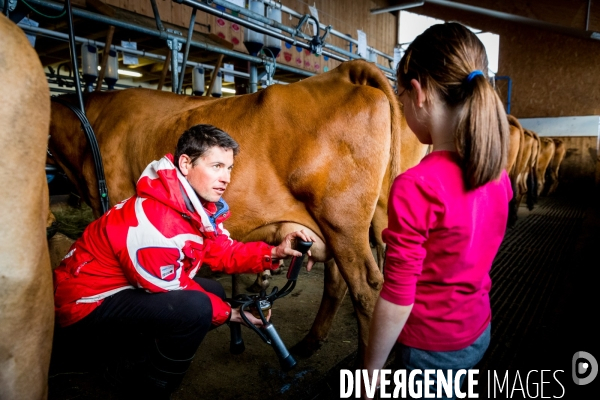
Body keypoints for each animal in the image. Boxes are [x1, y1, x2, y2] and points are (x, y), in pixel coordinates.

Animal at [48, 60, 426, 362]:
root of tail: (344, 71)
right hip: (361, 221)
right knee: (342, 282)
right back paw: (311, 343)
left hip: (342, 221)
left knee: (367, 289)